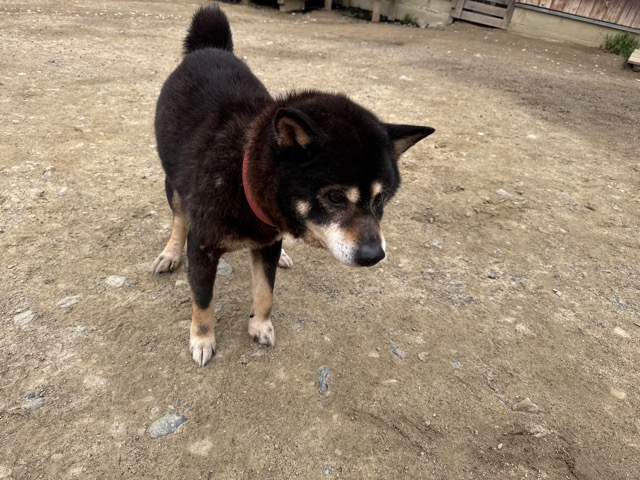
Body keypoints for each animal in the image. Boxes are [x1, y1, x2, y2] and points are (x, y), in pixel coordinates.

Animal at [151, 5, 435, 366]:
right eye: (335, 197)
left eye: (380, 198)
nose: (375, 256)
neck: (243, 176)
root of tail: (209, 47)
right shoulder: (202, 247)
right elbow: (203, 302)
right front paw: (202, 339)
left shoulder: (267, 242)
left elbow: (266, 291)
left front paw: (259, 325)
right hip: (172, 181)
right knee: (179, 218)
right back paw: (170, 253)